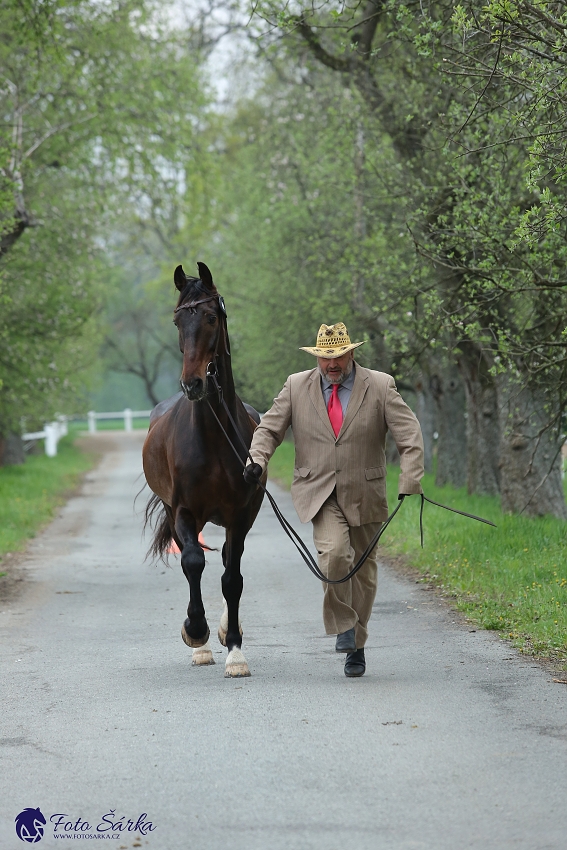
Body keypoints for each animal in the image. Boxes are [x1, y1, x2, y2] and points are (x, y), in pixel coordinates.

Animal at [142, 260, 266, 676]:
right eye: (178, 321)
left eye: (211, 317)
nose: (193, 384)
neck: (212, 435)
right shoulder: (184, 510)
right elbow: (193, 561)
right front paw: (196, 632)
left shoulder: (240, 514)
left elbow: (232, 578)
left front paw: (235, 650)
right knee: (193, 557)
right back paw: (202, 645)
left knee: (228, 559)